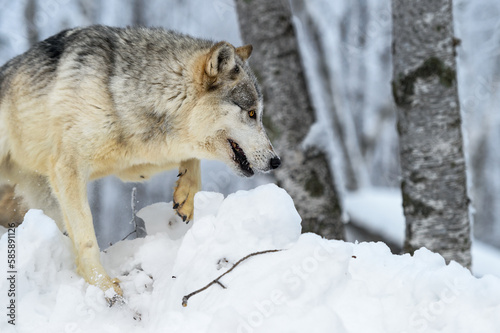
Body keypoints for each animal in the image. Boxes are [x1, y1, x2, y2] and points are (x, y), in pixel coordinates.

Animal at [0, 24, 282, 296]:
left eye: (259, 114)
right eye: (252, 113)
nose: (276, 161)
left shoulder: (136, 163)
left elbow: (190, 156)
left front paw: (187, 196)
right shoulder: (68, 167)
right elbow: (87, 238)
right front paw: (104, 286)